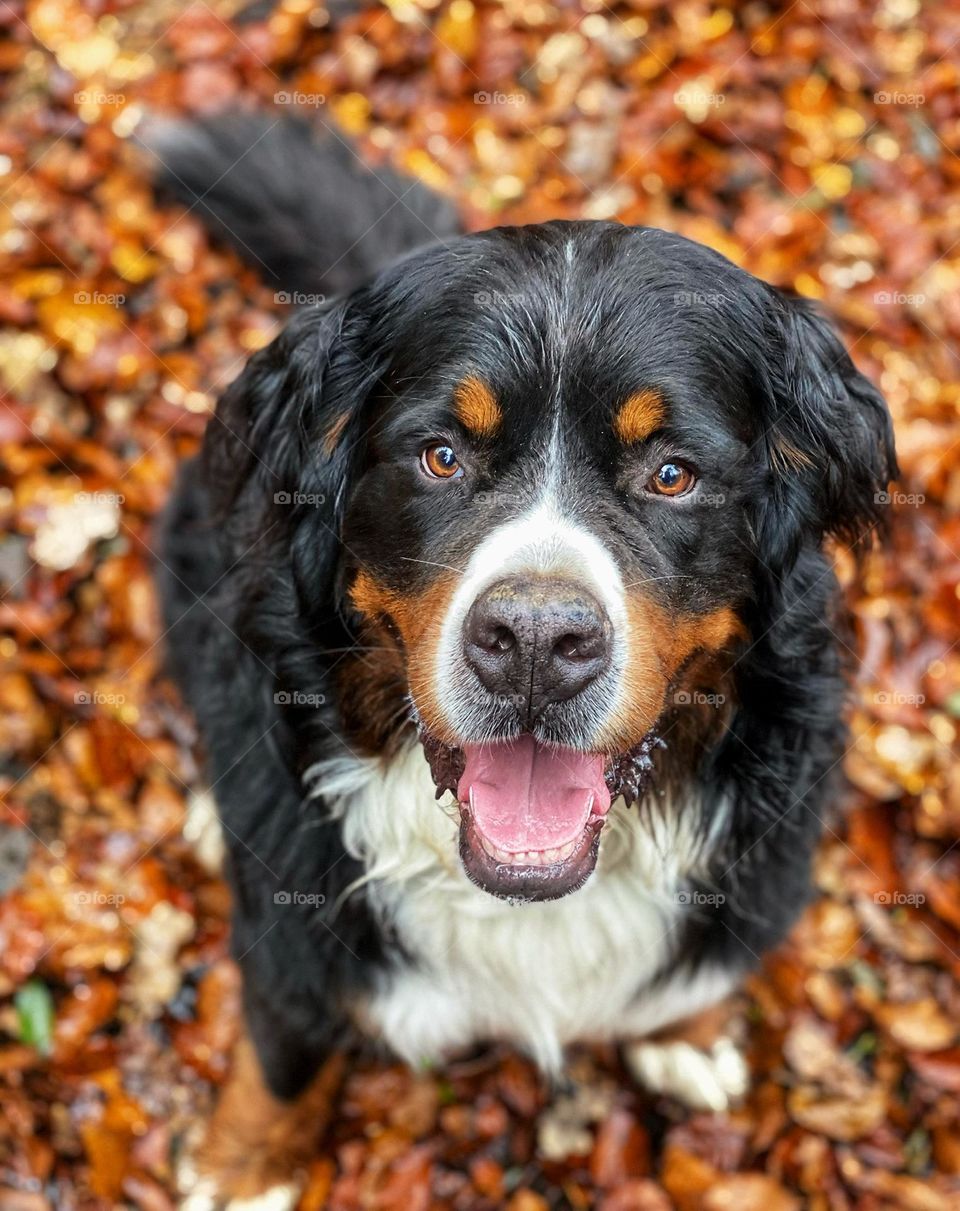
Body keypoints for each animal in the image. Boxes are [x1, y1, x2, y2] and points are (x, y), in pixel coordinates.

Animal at [145, 115, 895, 1211]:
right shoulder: (294, 939)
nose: (536, 643)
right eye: (441, 456)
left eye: (673, 473)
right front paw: (245, 1165)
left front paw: (687, 1031)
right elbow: (284, 1041)